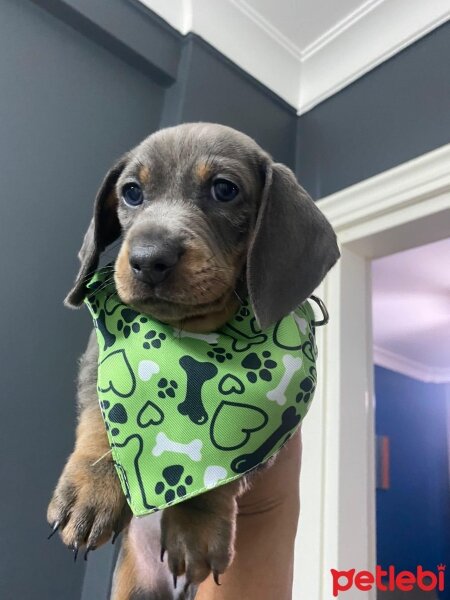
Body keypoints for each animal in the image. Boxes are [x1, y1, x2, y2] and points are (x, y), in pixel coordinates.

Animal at [47, 123, 340, 600]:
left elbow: (220, 468)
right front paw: (91, 488)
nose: (148, 259)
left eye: (224, 189)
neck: (191, 335)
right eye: (131, 192)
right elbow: (100, 415)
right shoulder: (97, 358)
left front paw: (196, 521)